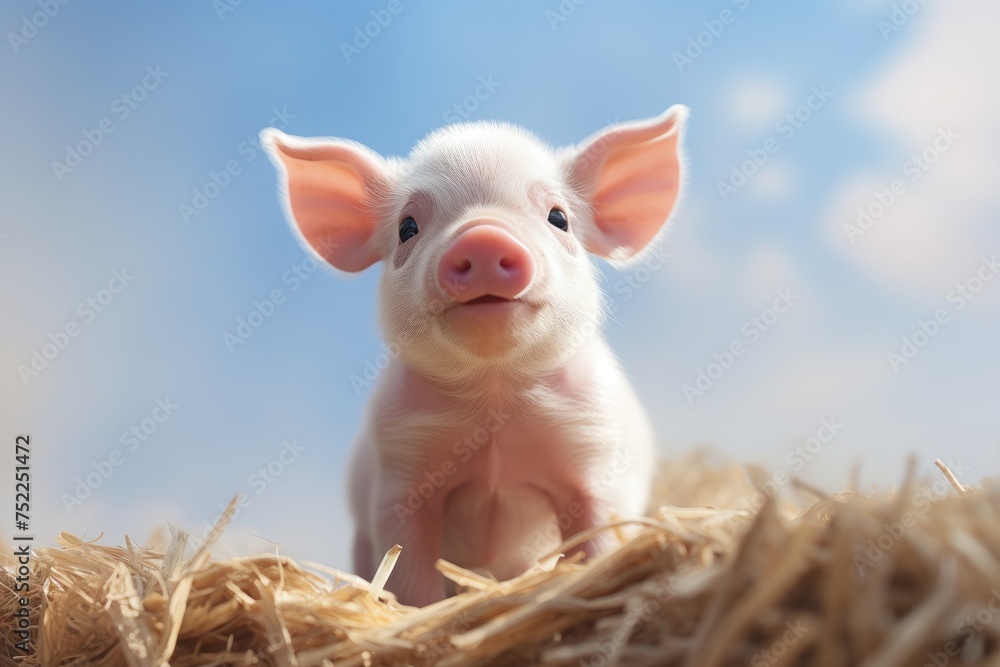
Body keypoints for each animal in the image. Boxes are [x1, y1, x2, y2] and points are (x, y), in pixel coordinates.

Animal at [261, 105, 688, 606]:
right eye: (407, 227)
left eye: (558, 217)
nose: (484, 238)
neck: (494, 399)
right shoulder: (400, 469)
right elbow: (408, 572)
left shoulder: (594, 451)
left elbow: (599, 538)